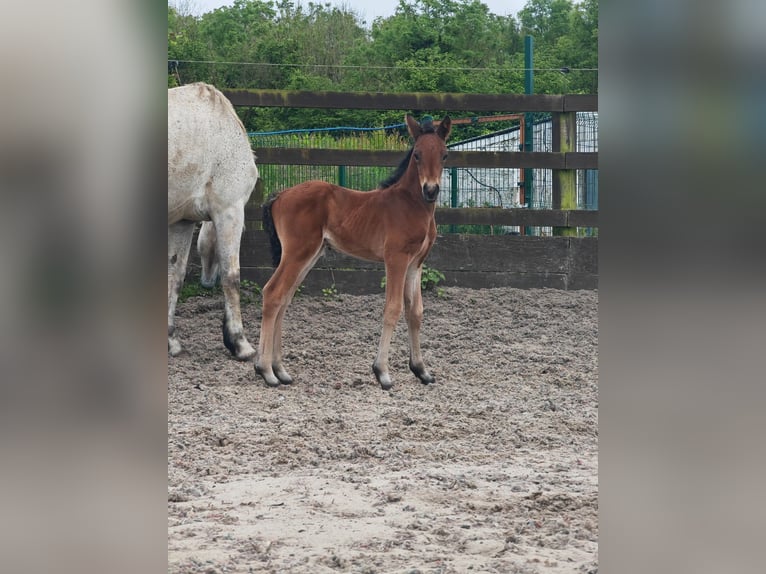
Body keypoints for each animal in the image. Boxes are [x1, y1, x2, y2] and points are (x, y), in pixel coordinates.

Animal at [167, 84, 258, 360]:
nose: (206, 282)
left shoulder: (182, 221)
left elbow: (174, 276)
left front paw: (170, 340)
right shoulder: (230, 210)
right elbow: (231, 276)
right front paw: (239, 343)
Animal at [255, 114, 452, 390]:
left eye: (444, 155)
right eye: (417, 155)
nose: (431, 190)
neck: (411, 204)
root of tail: (280, 195)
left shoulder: (417, 263)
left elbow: (415, 311)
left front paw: (421, 370)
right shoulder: (396, 259)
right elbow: (393, 308)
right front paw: (382, 373)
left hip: (308, 255)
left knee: (283, 298)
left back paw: (280, 370)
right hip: (297, 253)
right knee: (272, 293)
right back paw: (265, 370)